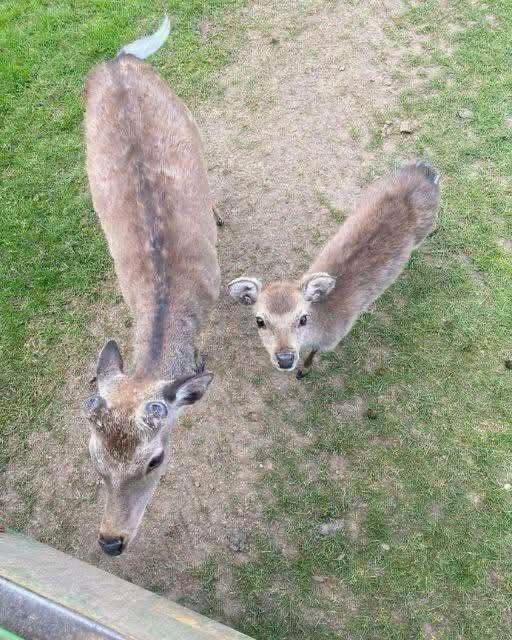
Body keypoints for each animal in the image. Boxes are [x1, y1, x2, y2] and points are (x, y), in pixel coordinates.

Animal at [228, 161, 440, 379]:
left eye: (303, 318)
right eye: (259, 321)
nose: (285, 359)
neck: (323, 323)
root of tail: (425, 170)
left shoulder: (333, 339)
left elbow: (315, 353)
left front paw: (304, 370)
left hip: (426, 226)